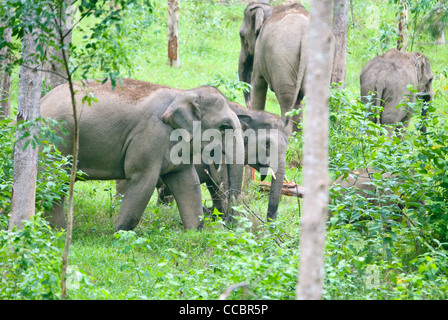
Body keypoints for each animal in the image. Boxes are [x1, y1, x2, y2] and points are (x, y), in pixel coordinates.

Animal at [40, 79, 245, 231]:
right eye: (224, 127)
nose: (228, 223)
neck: (183, 93)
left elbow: (187, 182)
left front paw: (195, 233)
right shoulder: (150, 136)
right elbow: (142, 181)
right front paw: (120, 235)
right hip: (55, 140)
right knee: (54, 181)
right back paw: (58, 231)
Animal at [240, 0, 334, 135]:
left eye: (241, 35)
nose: (247, 104)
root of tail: (306, 33)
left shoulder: (259, 50)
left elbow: (258, 84)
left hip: (282, 55)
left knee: (287, 98)